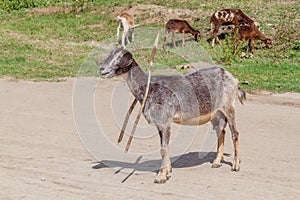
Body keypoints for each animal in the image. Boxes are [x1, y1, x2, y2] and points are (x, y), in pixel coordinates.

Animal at [99, 47, 245, 184]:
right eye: (111, 54)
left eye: (119, 57)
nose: (102, 69)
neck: (149, 88)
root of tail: (230, 76)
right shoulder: (160, 124)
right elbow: (164, 147)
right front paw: (167, 170)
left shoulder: (165, 121)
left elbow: (163, 148)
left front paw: (161, 177)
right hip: (216, 113)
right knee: (221, 131)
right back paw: (217, 162)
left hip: (228, 106)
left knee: (235, 133)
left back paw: (236, 165)